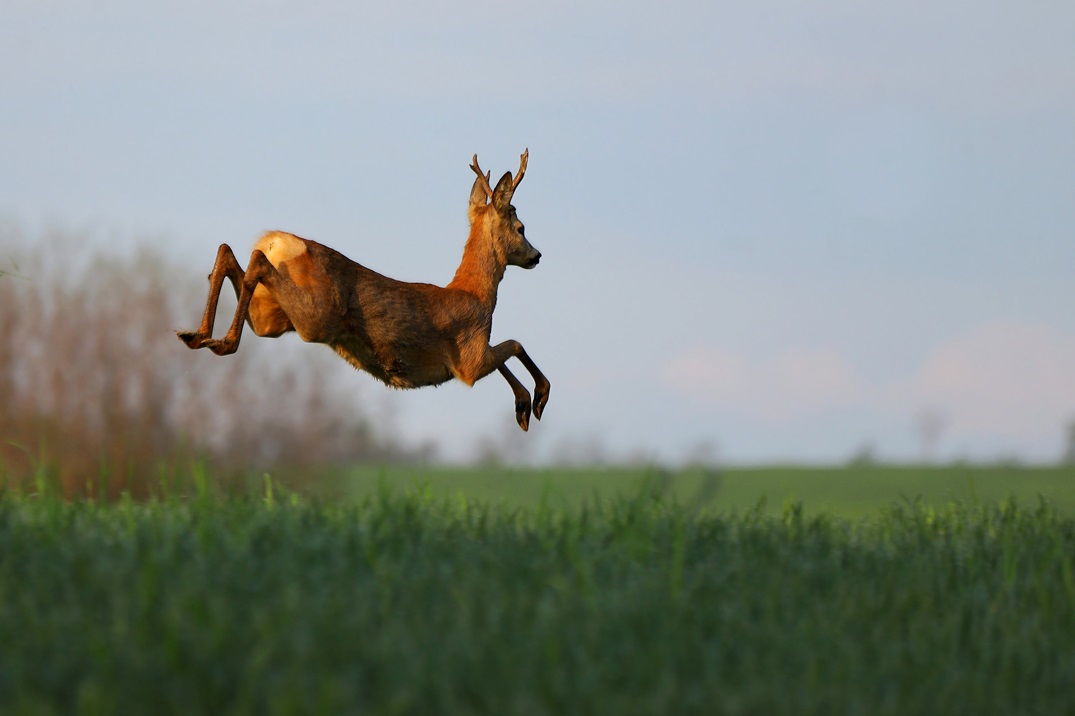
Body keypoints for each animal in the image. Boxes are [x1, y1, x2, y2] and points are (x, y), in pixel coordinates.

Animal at [177, 149, 550, 430]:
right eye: (521, 227)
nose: (536, 256)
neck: (475, 294)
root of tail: (277, 241)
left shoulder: (476, 355)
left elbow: (509, 350)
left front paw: (524, 406)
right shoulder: (469, 360)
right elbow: (514, 344)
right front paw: (536, 400)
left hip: (273, 318)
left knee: (229, 252)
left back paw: (198, 335)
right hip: (315, 317)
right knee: (254, 260)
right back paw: (221, 341)